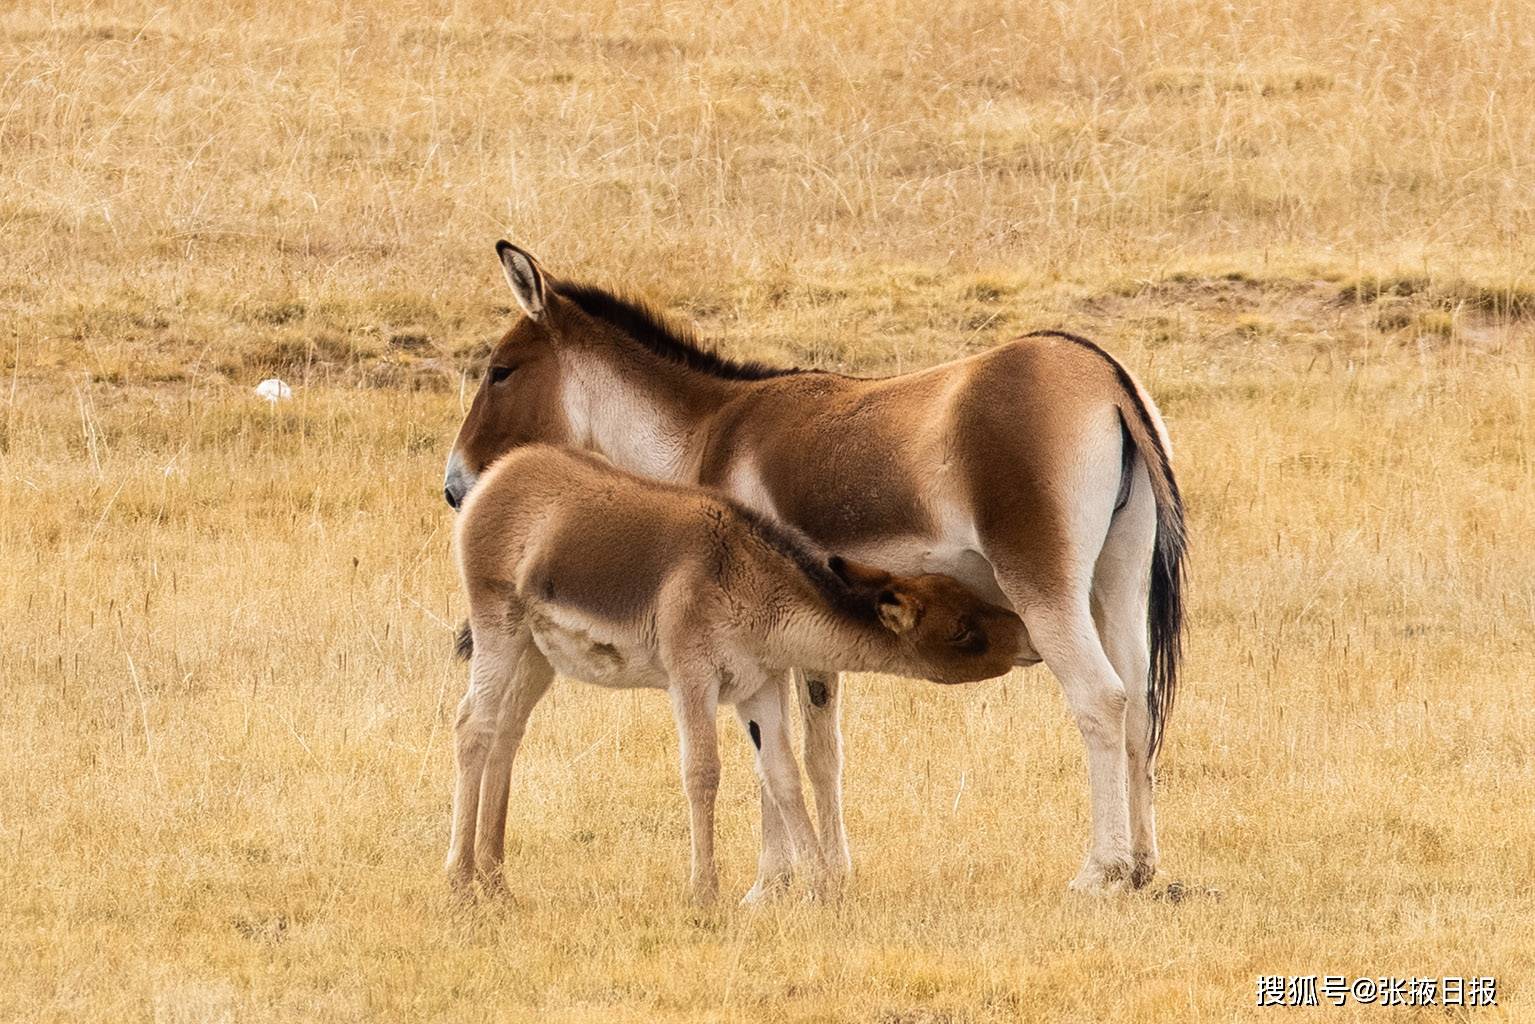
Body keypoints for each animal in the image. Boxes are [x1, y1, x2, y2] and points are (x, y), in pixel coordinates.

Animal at [448, 445, 1025, 902]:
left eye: (970, 597)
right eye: (962, 631)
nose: (1024, 634)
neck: (745, 581)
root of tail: (502, 471)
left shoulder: (759, 686)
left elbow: (783, 777)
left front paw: (823, 887)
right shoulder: (692, 679)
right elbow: (703, 773)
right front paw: (706, 891)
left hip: (536, 655)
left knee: (506, 734)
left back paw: (495, 880)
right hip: (499, 629)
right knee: (473, 727)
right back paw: (459, 881)